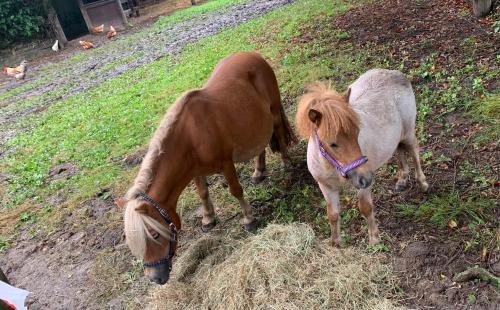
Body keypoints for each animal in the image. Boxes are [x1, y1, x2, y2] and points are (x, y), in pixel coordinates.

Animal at [116, 52, 296, 284]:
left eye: (154, 235)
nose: (154, 278)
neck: (191, 136)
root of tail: (254, 55)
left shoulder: (226, 164)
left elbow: (236, 190)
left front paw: (248, 219)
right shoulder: (195, 171)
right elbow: (203, 193)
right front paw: (208, 218)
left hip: (273, 112)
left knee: (279, 134)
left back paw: (286, 162)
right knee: (259, 143)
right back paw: (258, 171)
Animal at [294, 69, 428, 246]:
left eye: (357, 133)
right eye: (332, 144)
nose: (366, 178)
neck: (332, 167)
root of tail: (395, 74)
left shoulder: (362, 186)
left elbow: (365, 208)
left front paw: (374, 238)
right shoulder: (326, 186)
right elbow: (333, 215)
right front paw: (335, 243)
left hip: (408, 132)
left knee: (414, 151)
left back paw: (423, 183)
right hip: (397, 137)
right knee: (399, 150)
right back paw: (402, 180)